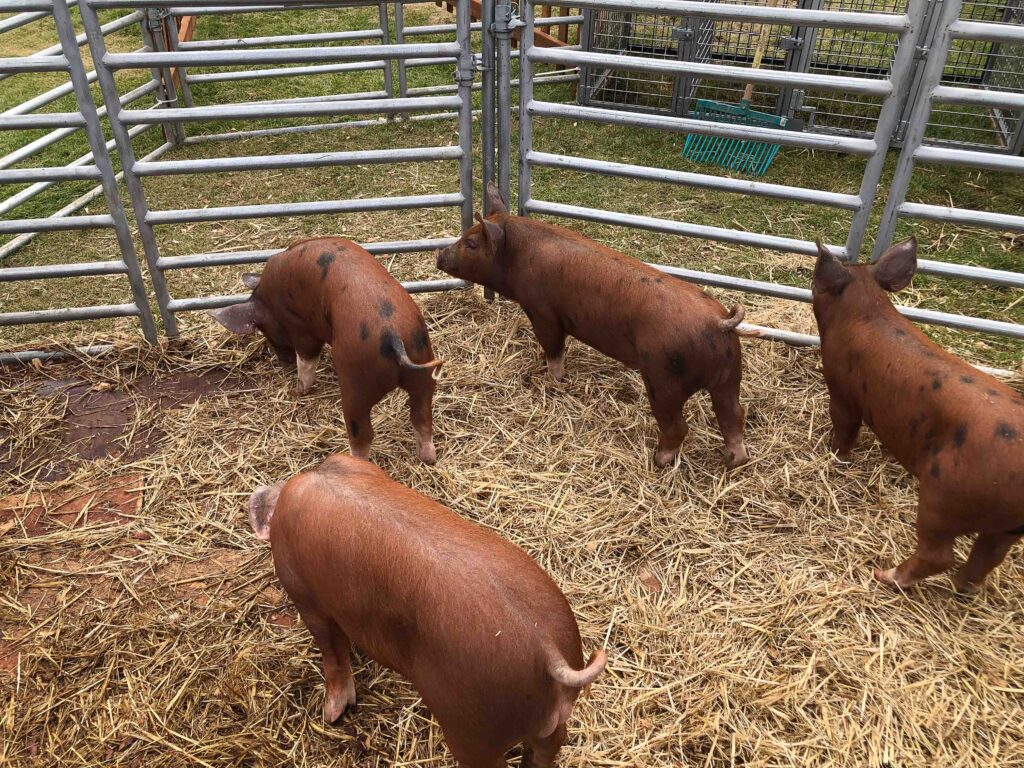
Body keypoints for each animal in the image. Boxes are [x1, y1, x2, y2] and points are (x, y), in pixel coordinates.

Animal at [208, 236, 444, 462]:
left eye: (263, 329)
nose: (283, 360)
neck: (270, 297)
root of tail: (393, 335)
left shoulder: (300, 327)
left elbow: (306, 358)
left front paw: (298, 390)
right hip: (423, 365)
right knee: (422, 417)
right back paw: (428, 459)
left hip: (356, 383)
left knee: (363, 434)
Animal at [245, 454, 606, 765]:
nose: (259, 493)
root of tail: (546, 648)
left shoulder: (305, 596)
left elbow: (332, 653)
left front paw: (331, 714)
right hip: (543, 717)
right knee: (551, 745)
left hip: (470, 730)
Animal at [436, 183, 749, 468]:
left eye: (471, 244)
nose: (439, 254)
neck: (518, 256)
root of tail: (719, 322)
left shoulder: (544, 313)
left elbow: (554, 349)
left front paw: (553, 381)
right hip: (730, 376)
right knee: (734, 417)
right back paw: (734, 461)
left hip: (664, 379)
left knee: (678, 426)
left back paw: (659, 461)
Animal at [811, 237, 1019, 593]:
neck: (865, 310)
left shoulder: (841, 390)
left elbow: (844, 426)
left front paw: (832, 453)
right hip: (1005, 528)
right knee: (988, 557)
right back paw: (960, 588)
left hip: (943, 498)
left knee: (939, 555)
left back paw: (884, 576)